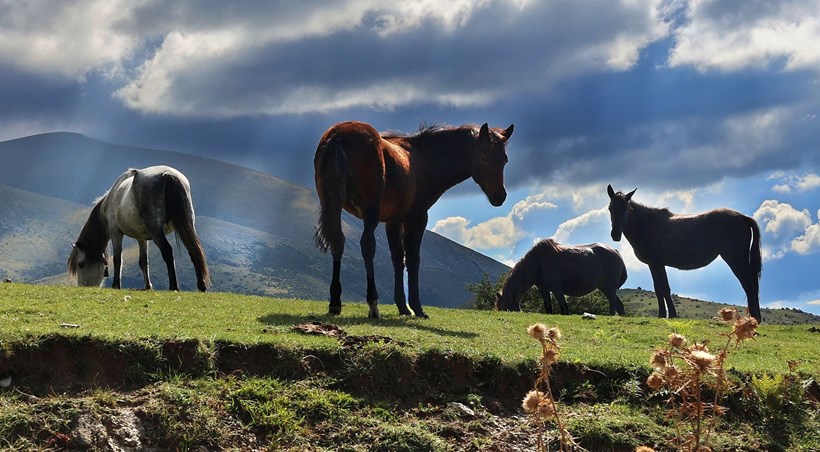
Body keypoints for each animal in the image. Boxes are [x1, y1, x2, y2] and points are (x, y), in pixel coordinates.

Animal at [67, 167, 210, 294]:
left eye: (81, 264)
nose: (83, 286)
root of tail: (168, 175)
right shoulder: (142, 238)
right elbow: (143, 262)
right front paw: (147, 286)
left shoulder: (116, 233)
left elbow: (118, 260)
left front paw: (116, 285)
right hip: (185, 225)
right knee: (193, 250)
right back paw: (201, 286)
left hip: (156, 231)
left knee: (168, 252)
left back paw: (174, 286)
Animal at [314, 120, 512, 318]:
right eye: (484, 157)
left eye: (504, 160)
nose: (499, 196)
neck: (424, 160)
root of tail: (339, 135)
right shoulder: (417, 217)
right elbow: (412, 259)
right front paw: (417, 307)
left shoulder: (393, 221)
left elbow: (397, 259)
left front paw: (403, 306)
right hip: (370, 212)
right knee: (367, 245)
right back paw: (373, 304)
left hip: (333, 206)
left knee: (338, 242)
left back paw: (335, 303)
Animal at [494, 238, 628, 316]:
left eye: (502, 307)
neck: (537, 263)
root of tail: (616, 251)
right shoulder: (543, 289)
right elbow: (548, 307)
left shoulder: (557, 289)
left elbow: (564, 308)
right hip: (606, 288)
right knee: (619, 306)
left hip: (609, 288)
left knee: (613, 305)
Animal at [604, 185, 764, 322]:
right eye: (610, 208)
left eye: (626, 208)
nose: (615, 234)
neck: (647, 225)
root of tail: (743, 217)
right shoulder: (653, 265)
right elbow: (658, 289)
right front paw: (663, 314)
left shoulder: (657, 264)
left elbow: (664, 288)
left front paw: (670, 314)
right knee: (753, 284)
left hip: (734, 260)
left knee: (748, 284)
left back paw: (754, 318)